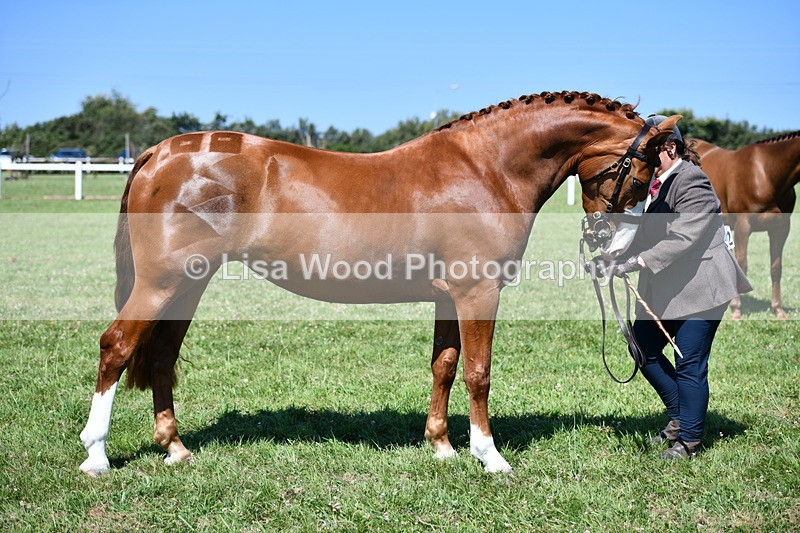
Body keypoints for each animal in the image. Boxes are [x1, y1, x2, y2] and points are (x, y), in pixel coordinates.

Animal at [79, 90, 681, 475]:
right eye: (643, 174)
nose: (615, 247)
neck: (486, 169)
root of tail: (159, 153)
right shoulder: (478, 291)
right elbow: (479, 373)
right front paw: (490, 458)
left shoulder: (449, 297)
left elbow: (444, 366)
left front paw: (441, 447)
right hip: (161, 283)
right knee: (116, 347)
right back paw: (97, 455)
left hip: (188, 286)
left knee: (160, 357)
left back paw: (175, 449)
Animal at [693, 131, 800, 320]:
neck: (767, 173)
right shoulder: (743, 226)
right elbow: (741, 265)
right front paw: (736, 311)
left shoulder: (780, 229)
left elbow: (776, 268)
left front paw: (779, 310)